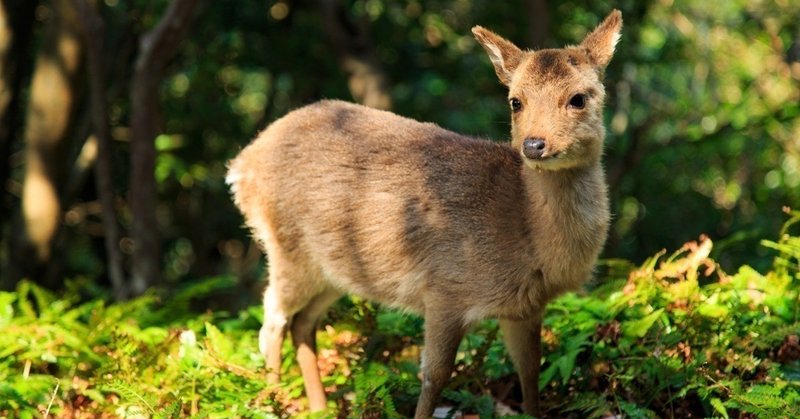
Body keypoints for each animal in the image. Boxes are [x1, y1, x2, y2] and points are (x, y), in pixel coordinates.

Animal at [228, 10, 620, 419]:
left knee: (303, 323)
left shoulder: (523, 307)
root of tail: (241, 166)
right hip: (287, 248)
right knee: (272, 319)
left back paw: (320, 406)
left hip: (333, 269)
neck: (526, 229)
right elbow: (435, 375)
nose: (533, 145)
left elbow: (529, 372)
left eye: (578, 98)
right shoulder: (445, 288)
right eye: (516, 101)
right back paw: (272, 399)